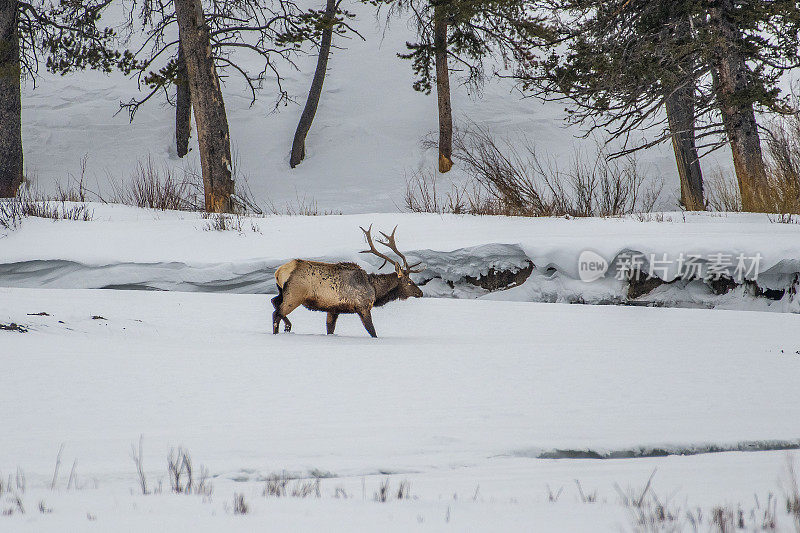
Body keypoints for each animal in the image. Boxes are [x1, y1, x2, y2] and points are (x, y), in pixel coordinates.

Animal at [272, 225, 424, 336]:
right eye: (409, 281)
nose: (420, 293)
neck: (376, 290)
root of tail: (279, 271)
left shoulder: (333, 309)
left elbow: (330, 330)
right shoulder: (363, 306)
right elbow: (372, 331)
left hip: (283, 292)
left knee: (274, 302)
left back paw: (287, 326)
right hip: (295, 294)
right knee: (277, 313)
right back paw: (284, 328)